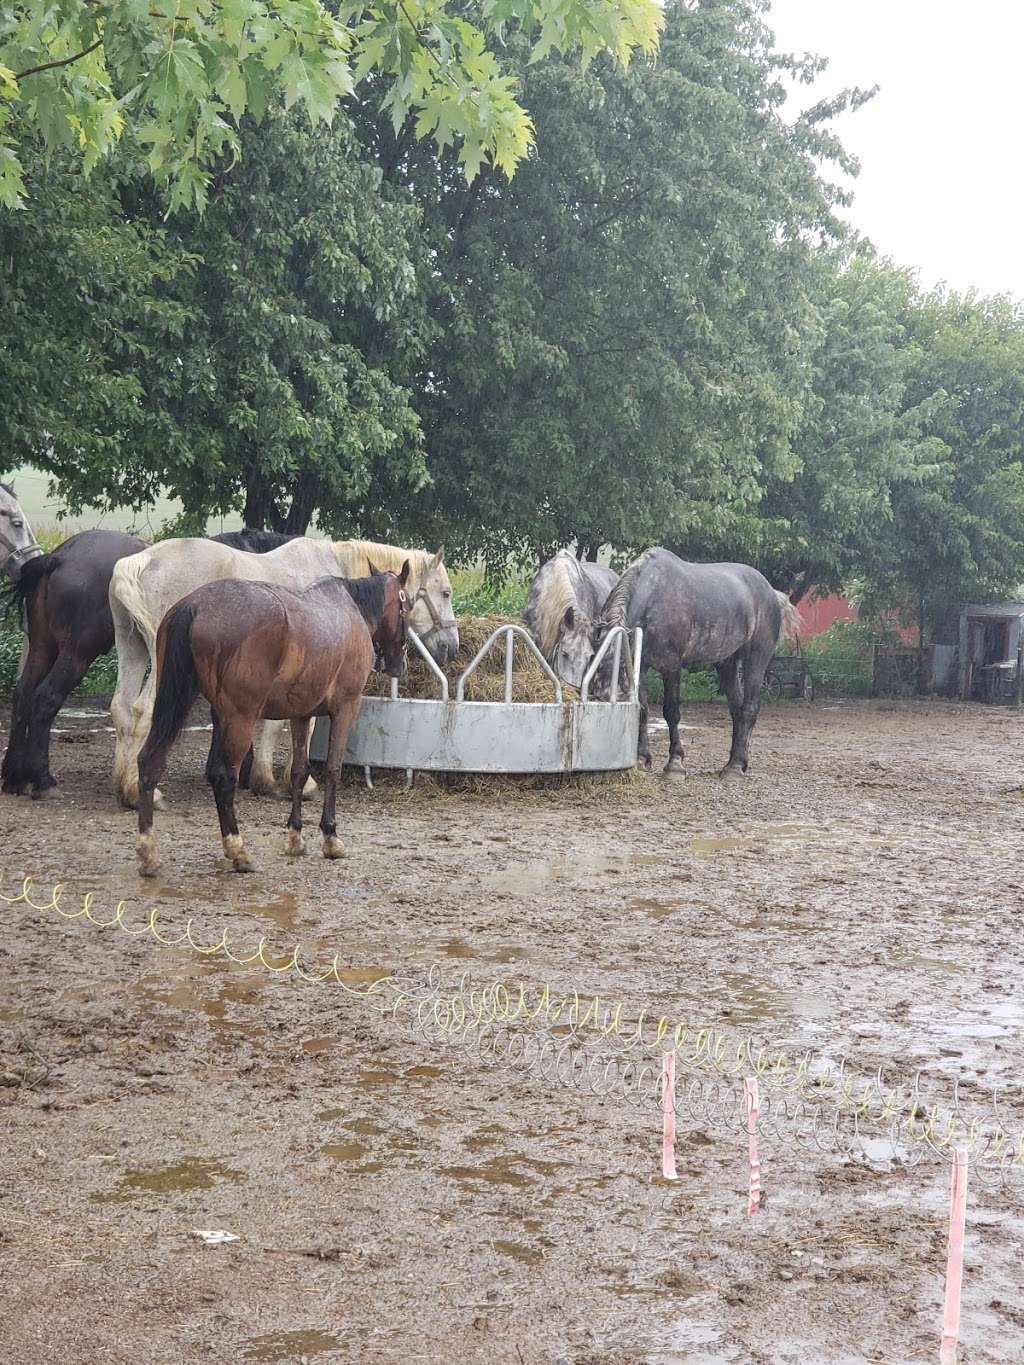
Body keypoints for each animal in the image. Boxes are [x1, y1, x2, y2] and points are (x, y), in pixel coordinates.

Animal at [1, 521, 296, 797]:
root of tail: (59, 555)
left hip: (43, 647)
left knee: (23, 693)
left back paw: (16, 777)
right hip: (77, 653)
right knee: (45, 698)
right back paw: (43, 779)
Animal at [108, 535, 456, 808]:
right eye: (446, 592)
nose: (451, 647)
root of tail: (140, 562)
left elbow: (274, 724)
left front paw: (264, 778)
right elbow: (299, 725)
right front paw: (297, 782)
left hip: (132, 649)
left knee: (122, 709)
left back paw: (122, 784)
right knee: (144, 712)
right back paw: (139, 791)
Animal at [134, 562, 412, 873]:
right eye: (409, 605)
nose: (399, 663)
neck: (351, 610)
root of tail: (195, 605)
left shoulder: (302, 715)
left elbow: (299, 772)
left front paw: (295, 837)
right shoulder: (345, 709)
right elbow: (333, 768)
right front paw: (330, 838)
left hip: (201, 711)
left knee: (150, 762)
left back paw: (148, 851)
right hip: (239, 719)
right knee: (224, 777)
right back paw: (238, 850)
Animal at [592, 546, 802, 780]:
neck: (654, 598)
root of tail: (772, 592)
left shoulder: (671, 666)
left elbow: (671, 711)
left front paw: (675, 764)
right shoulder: (641, 666)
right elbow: (643, 709)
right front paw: (642, 759)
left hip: (756, 659)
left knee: (749, 708)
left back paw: (736, 767)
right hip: (727, 664)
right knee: (737, 709)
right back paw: (733, 763)